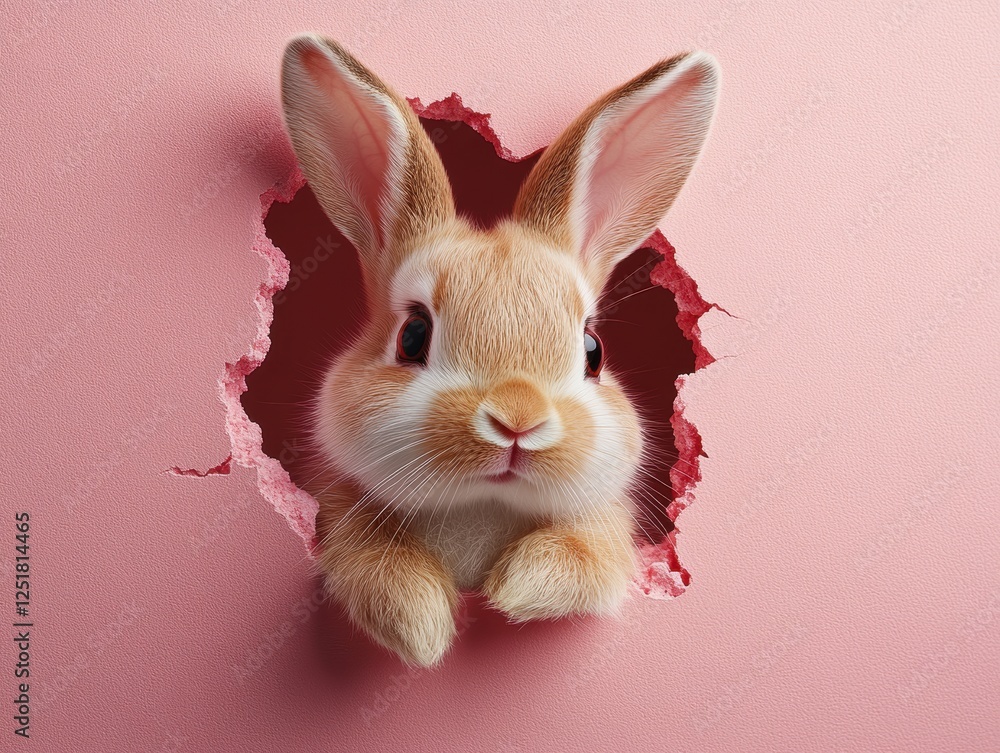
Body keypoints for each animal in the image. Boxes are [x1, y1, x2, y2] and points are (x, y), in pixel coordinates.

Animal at [279, 33, 719, 666]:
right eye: (412, 336)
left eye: (593, 351)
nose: (518, 421)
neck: (484, 504)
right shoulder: (338, 513)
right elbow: (376, 568)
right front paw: (422, 625)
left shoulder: (605, 533)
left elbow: (583, 558)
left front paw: (512, 589)